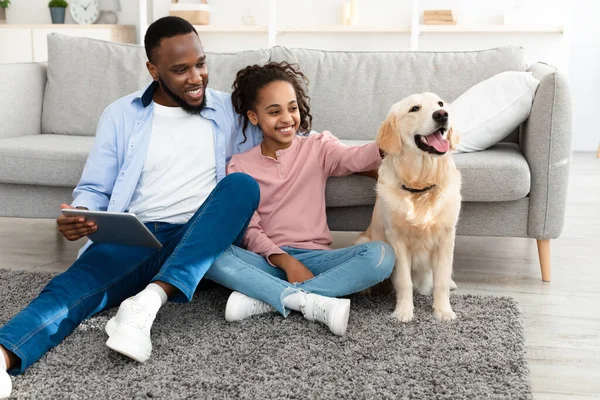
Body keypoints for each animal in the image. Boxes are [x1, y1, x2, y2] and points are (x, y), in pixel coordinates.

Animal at [358, 93, 462, 322]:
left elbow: (441, 279)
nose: (442, 115)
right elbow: (404, 281)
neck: (421, 186)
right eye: (414, 108)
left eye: (440, 104)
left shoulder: (446, 237)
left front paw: (443, 311)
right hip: (363, 239)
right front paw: (404, 312)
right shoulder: (397, 239)